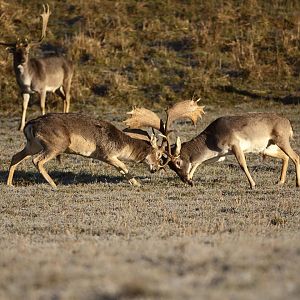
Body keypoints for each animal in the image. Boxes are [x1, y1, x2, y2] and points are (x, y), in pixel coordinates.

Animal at [123, 102, 300, 189]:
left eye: (178, 162)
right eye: (171, 168)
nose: (185, 180)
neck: (212, 139)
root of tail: (288, 123)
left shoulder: (234, 145)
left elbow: (242, 164)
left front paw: (253, 185)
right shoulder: (218, 156)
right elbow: (197, 163)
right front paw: (192, 179)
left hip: (281, 140)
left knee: (296, 156)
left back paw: (297, 183)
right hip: (268, 147)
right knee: (285, 157)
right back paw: (280, 182)